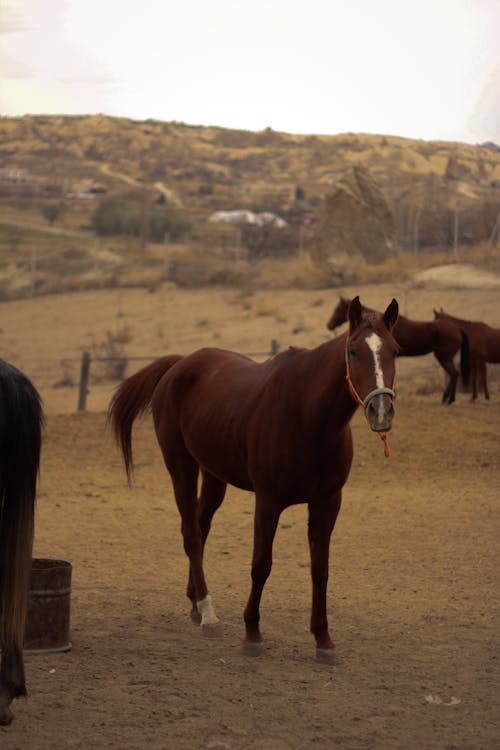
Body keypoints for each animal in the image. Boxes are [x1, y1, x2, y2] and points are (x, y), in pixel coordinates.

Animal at [109, 298, 398, 664]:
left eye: (395, 350)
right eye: (353, 351)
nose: (381, 411)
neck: (307, 416)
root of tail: (179, 365)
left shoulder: (328, 501)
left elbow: (321, 570)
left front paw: (323, 639)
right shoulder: (268, 500)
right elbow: (261, 564)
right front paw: (252, 633)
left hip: (214, 475)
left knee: (200, 529)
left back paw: (195, 604)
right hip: (181, 467)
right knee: (191, 535)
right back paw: (208, 613)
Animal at [326, 294, 466, 406]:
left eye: (338, 309)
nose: (329, 325)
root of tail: (457, 329)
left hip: (444, 357)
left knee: (454, 374)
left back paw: (449, 400)